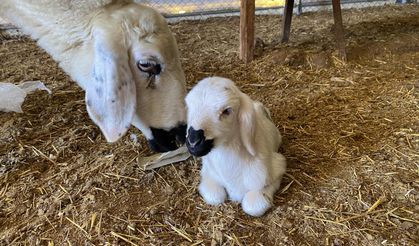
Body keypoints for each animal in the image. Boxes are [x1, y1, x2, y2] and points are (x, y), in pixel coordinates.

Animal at [185, 77, 288, 217]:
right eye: (189, 107)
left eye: (227, 111)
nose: (193, 142)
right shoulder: (208, 174)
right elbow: (215, 197)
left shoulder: (277, 167)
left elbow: (253, 206)